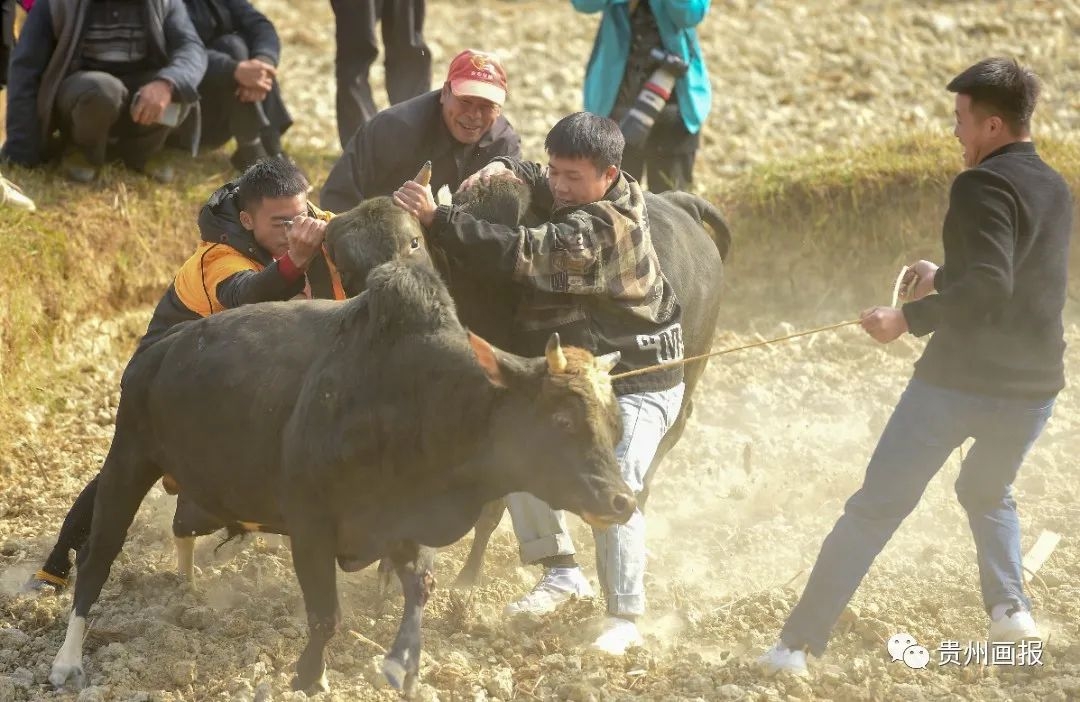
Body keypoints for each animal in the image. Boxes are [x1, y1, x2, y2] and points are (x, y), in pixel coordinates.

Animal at [48, 222, 639, 686]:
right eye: (562, 420)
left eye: (615, 422)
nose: (622, 501)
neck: (419, 396)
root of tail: (158, 351)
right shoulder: (311, 526)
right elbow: (325, 616)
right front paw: (309, 678)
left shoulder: (402, 524)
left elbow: (419, 590)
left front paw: (401, 664)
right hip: (127, 461)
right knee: (97, 557)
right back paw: (66, 660)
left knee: (181, 526)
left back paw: (190, 585)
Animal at [326, 176, 734, 583]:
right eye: (345, 268)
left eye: (413, 242)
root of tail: (682, 205)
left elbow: (492, 506)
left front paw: (466, 579)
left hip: (686, 376)